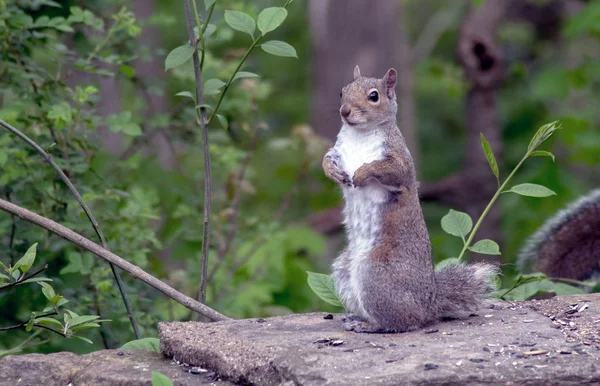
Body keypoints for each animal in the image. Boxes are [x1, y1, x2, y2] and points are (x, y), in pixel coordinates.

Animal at [326, 66, 500, 332]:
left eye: (374, 96)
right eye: (341, 91)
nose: (344, 111)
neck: (359, 134)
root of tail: (429, 305)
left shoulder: (400, 161)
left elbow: (392, 171)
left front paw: (363, 172)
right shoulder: (340, 150)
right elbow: (328, 159)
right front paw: (331, 171)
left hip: (375, 275)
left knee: (404, 321)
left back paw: (370, 325)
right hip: (345, 269)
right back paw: (358, 318)